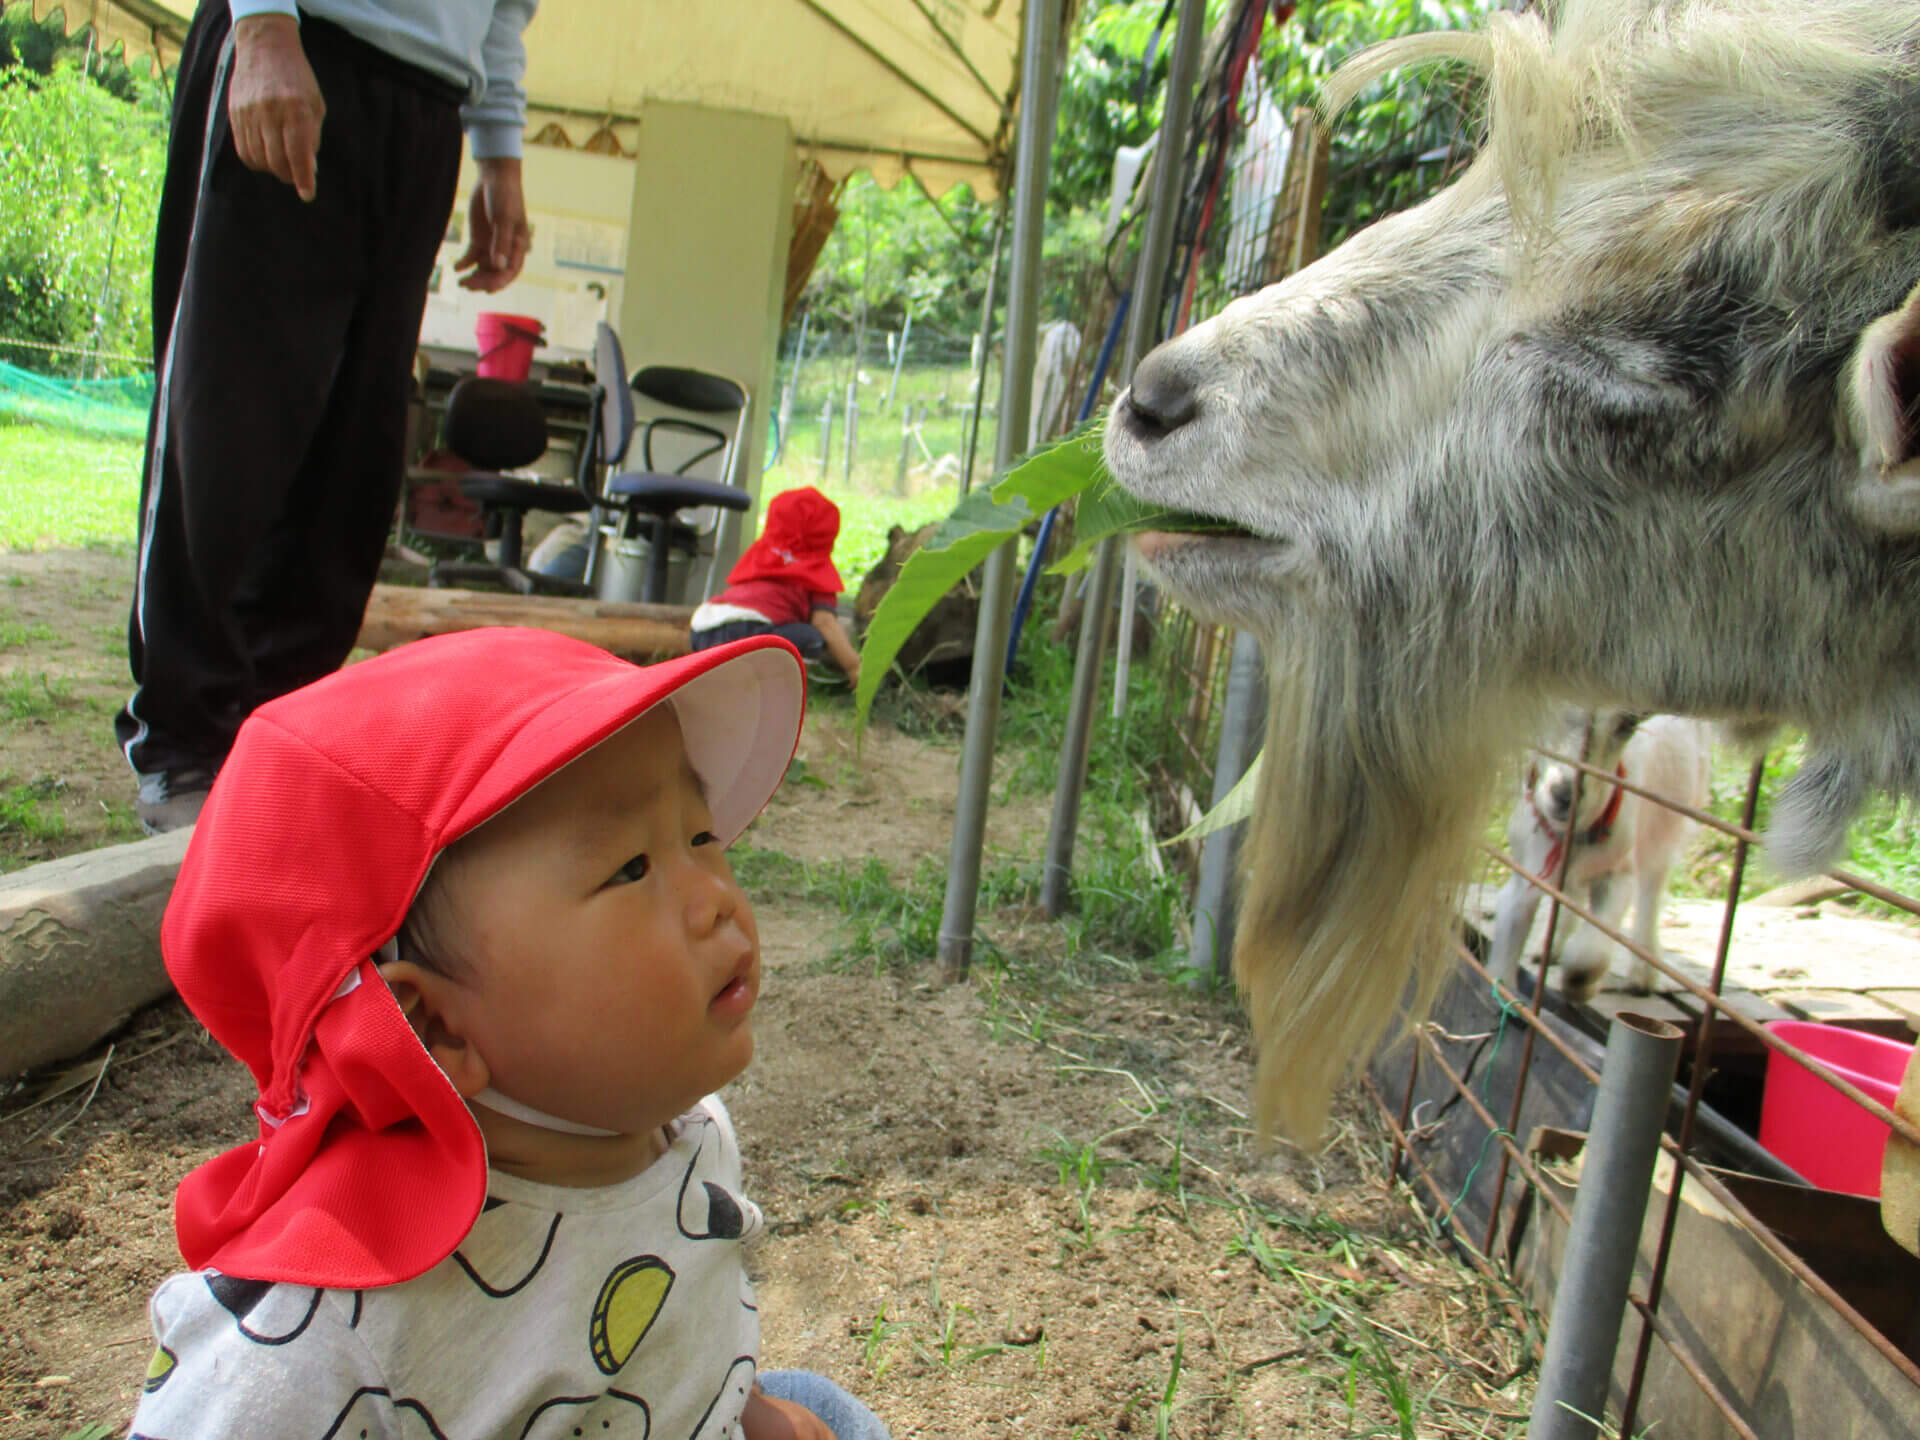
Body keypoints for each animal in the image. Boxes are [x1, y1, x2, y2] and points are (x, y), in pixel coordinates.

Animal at [1482, 710, 1712, 1006]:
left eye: (1627, 723)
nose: (1564, 795)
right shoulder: (1528, 868)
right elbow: (1510, 926)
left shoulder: (1619, 873)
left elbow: (1591, 949)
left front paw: (1579, 985)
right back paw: (1550, 948)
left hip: (1670, 817)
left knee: (1651, 889)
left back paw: (1642, 973)